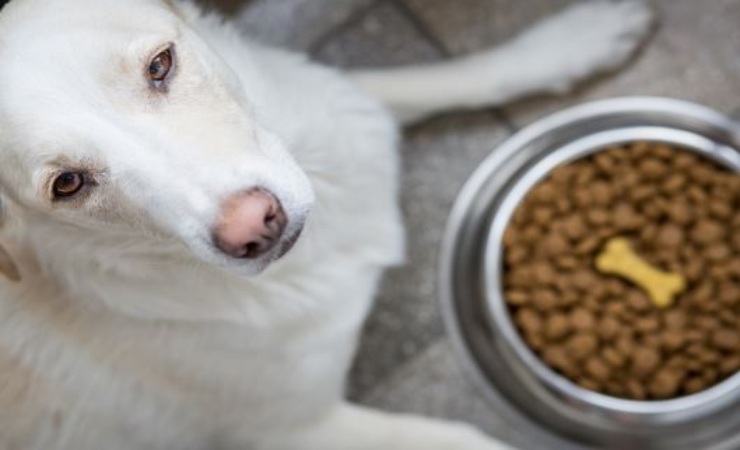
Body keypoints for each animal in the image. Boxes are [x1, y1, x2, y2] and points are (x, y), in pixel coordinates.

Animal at [0, 0, 648, 446]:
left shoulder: (334, 97)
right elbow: (467, 438)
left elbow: (419, 82)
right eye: (67, 184)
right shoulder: (302, 429)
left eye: (160, 64)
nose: (253, 227)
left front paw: (567, 44)